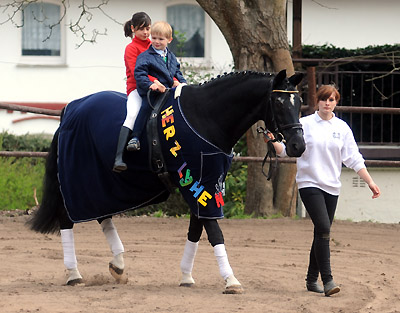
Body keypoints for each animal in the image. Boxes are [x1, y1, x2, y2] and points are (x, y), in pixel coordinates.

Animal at [28, 69, 304, 292]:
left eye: (299, 102)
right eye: (278, 102)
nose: (298, 145)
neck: (204, 117)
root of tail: (70, 109)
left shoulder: (205, 183)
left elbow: (196, 229)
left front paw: (186, 277)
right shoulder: (196, 183)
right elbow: (214, 231)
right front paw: (231, 280)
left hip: (99, 181)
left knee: (100, 214)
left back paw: (118, 264)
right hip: (78, 178)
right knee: (67, 218)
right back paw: (74, 274)